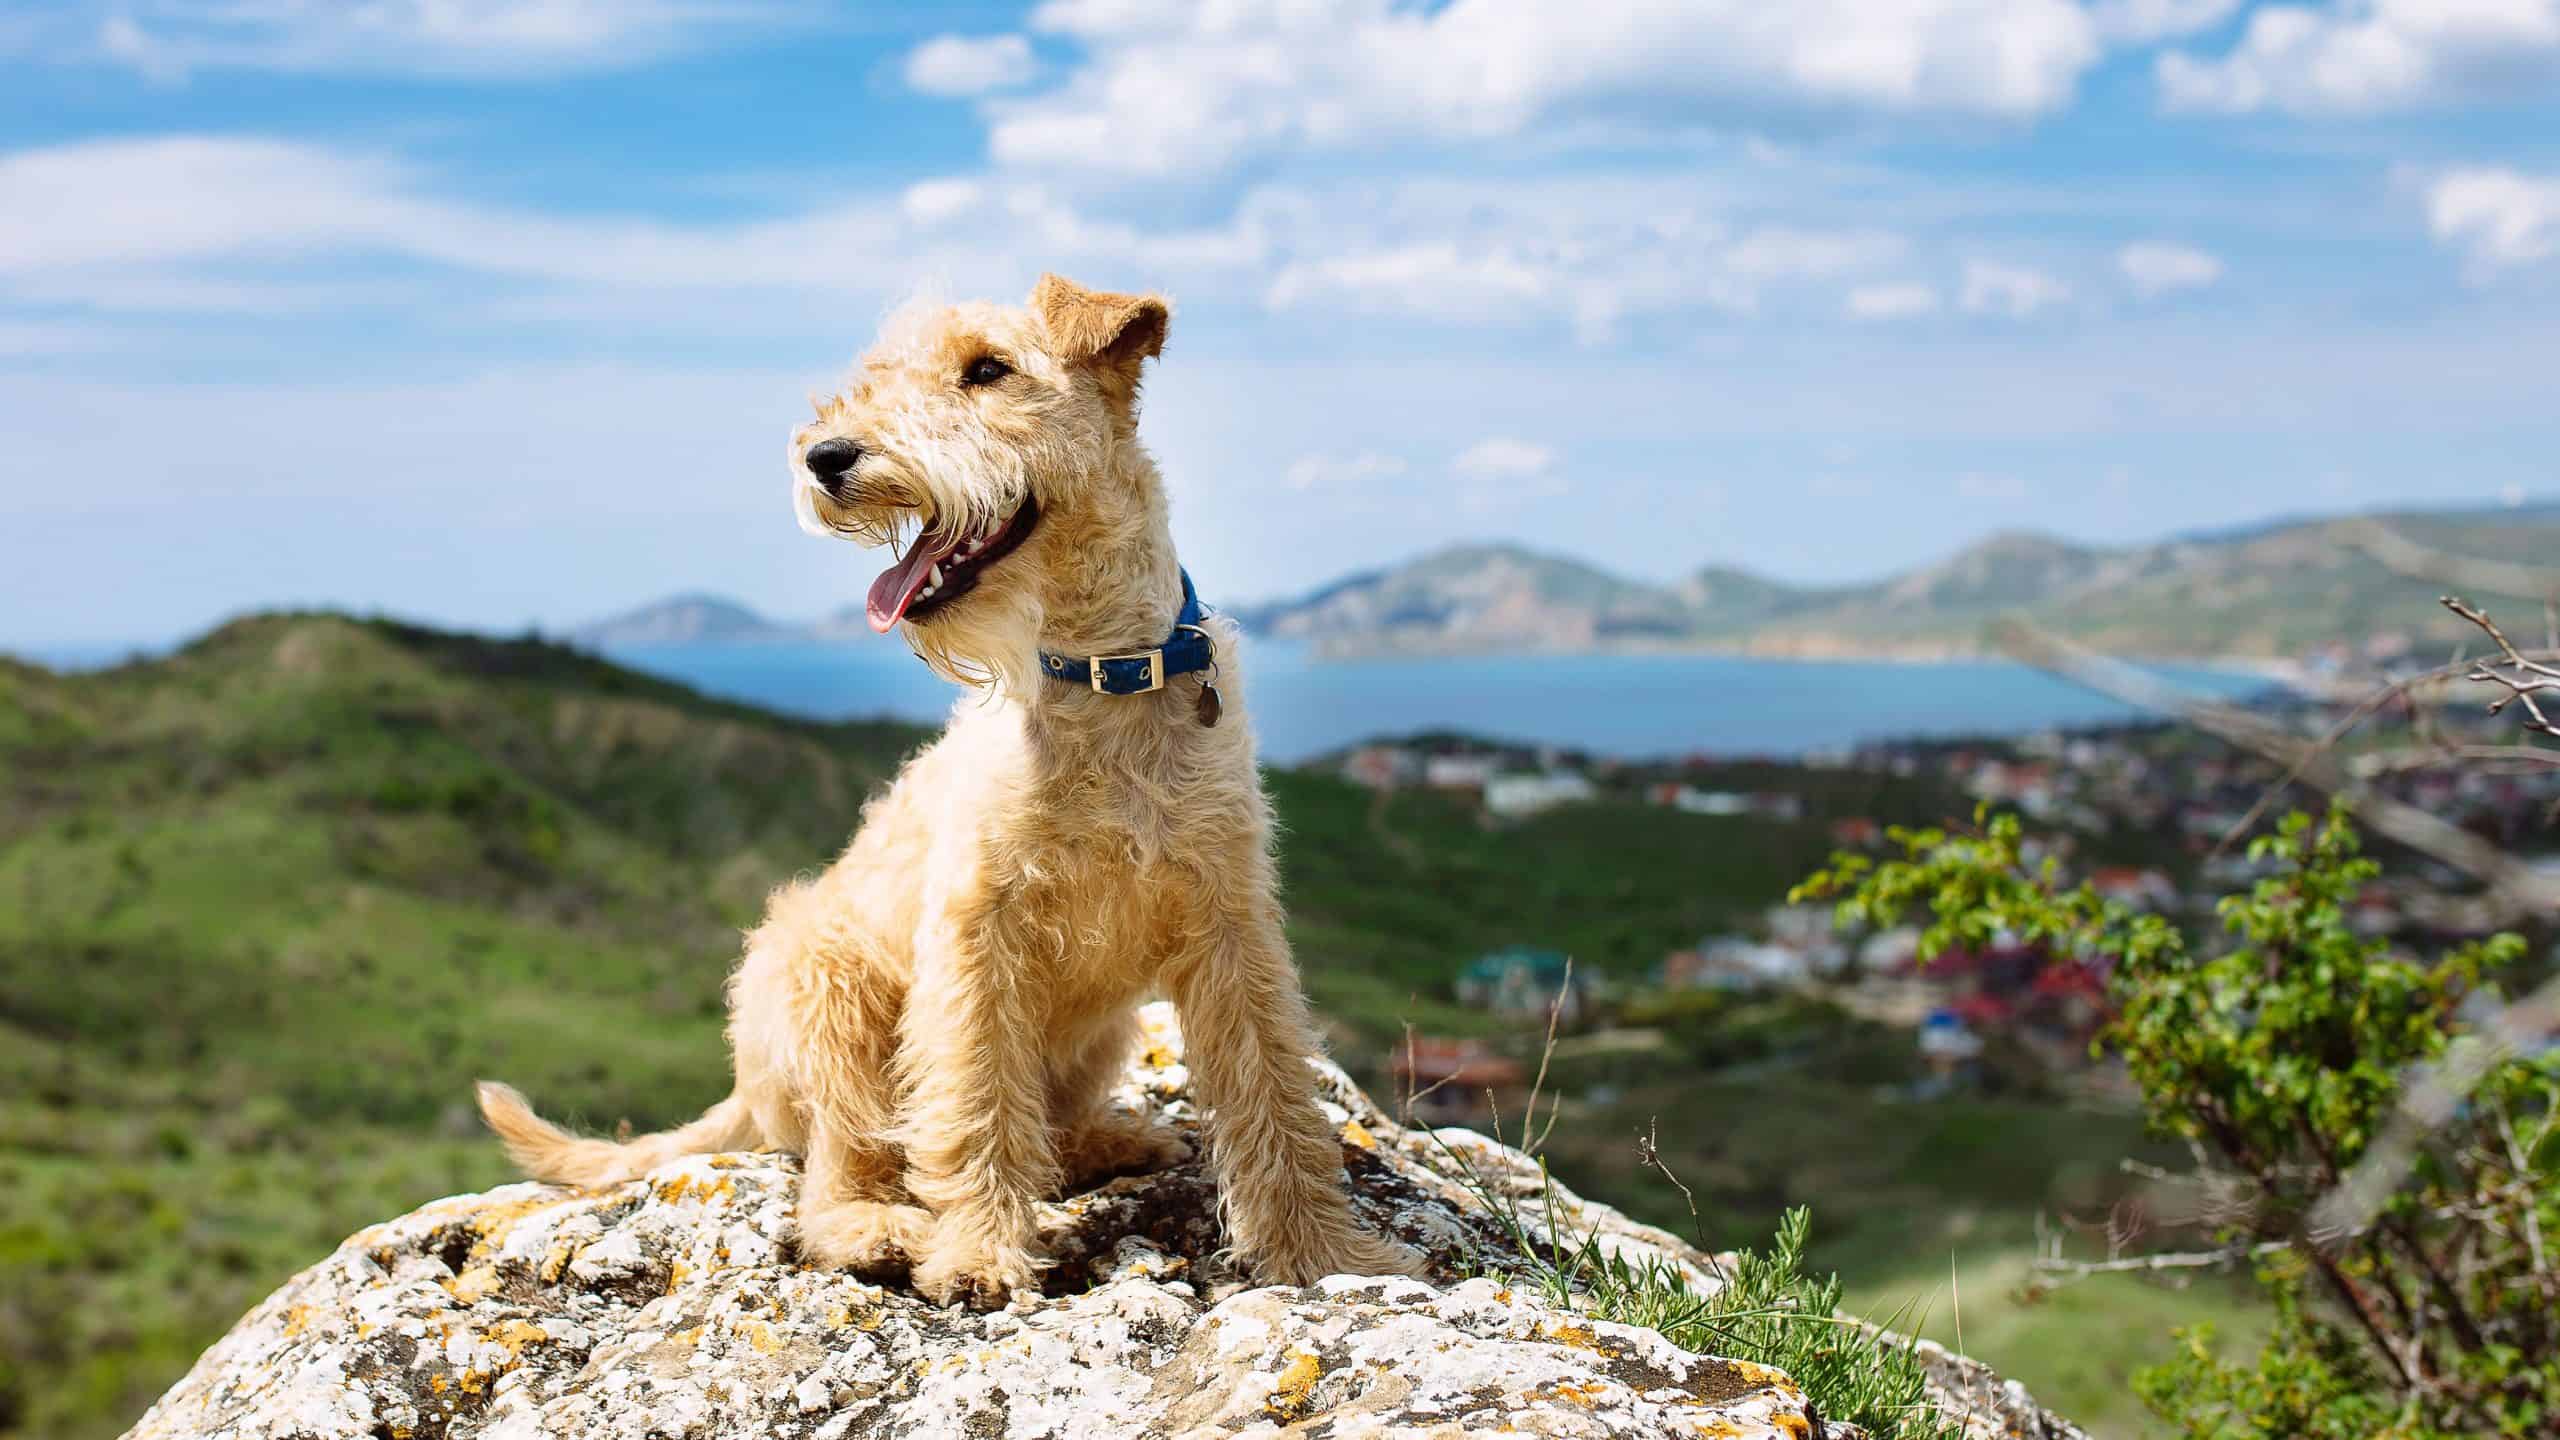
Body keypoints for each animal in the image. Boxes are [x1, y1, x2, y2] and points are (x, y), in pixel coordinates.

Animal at [471, 266, 1413, 1301]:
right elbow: (976, 1104)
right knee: (839, 1175)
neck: (1097, 676)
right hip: (825, 992)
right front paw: (976, 1255)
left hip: (1099, 1033)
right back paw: (881, 1229)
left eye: (988, 369)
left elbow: (1275, 1096)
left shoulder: (1230, 925)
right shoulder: (976, 936)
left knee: (1045, 1127)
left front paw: (1325, 1255)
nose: (826, 456)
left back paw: (1116, 1138)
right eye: (881, 372)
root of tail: (745, 1089)